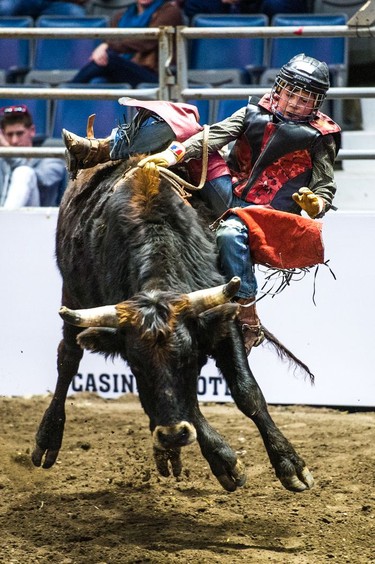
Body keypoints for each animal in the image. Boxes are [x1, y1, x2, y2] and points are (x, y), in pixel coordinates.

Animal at [31, 156, 314, 492]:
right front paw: (223, 460)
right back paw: (49, 438)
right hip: (72, 296)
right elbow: (183, 401)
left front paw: (289, 463)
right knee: (68, 359)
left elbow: (246, 391)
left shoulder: (220, 323)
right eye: (136, 366)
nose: (172, 433)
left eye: (189, 358)